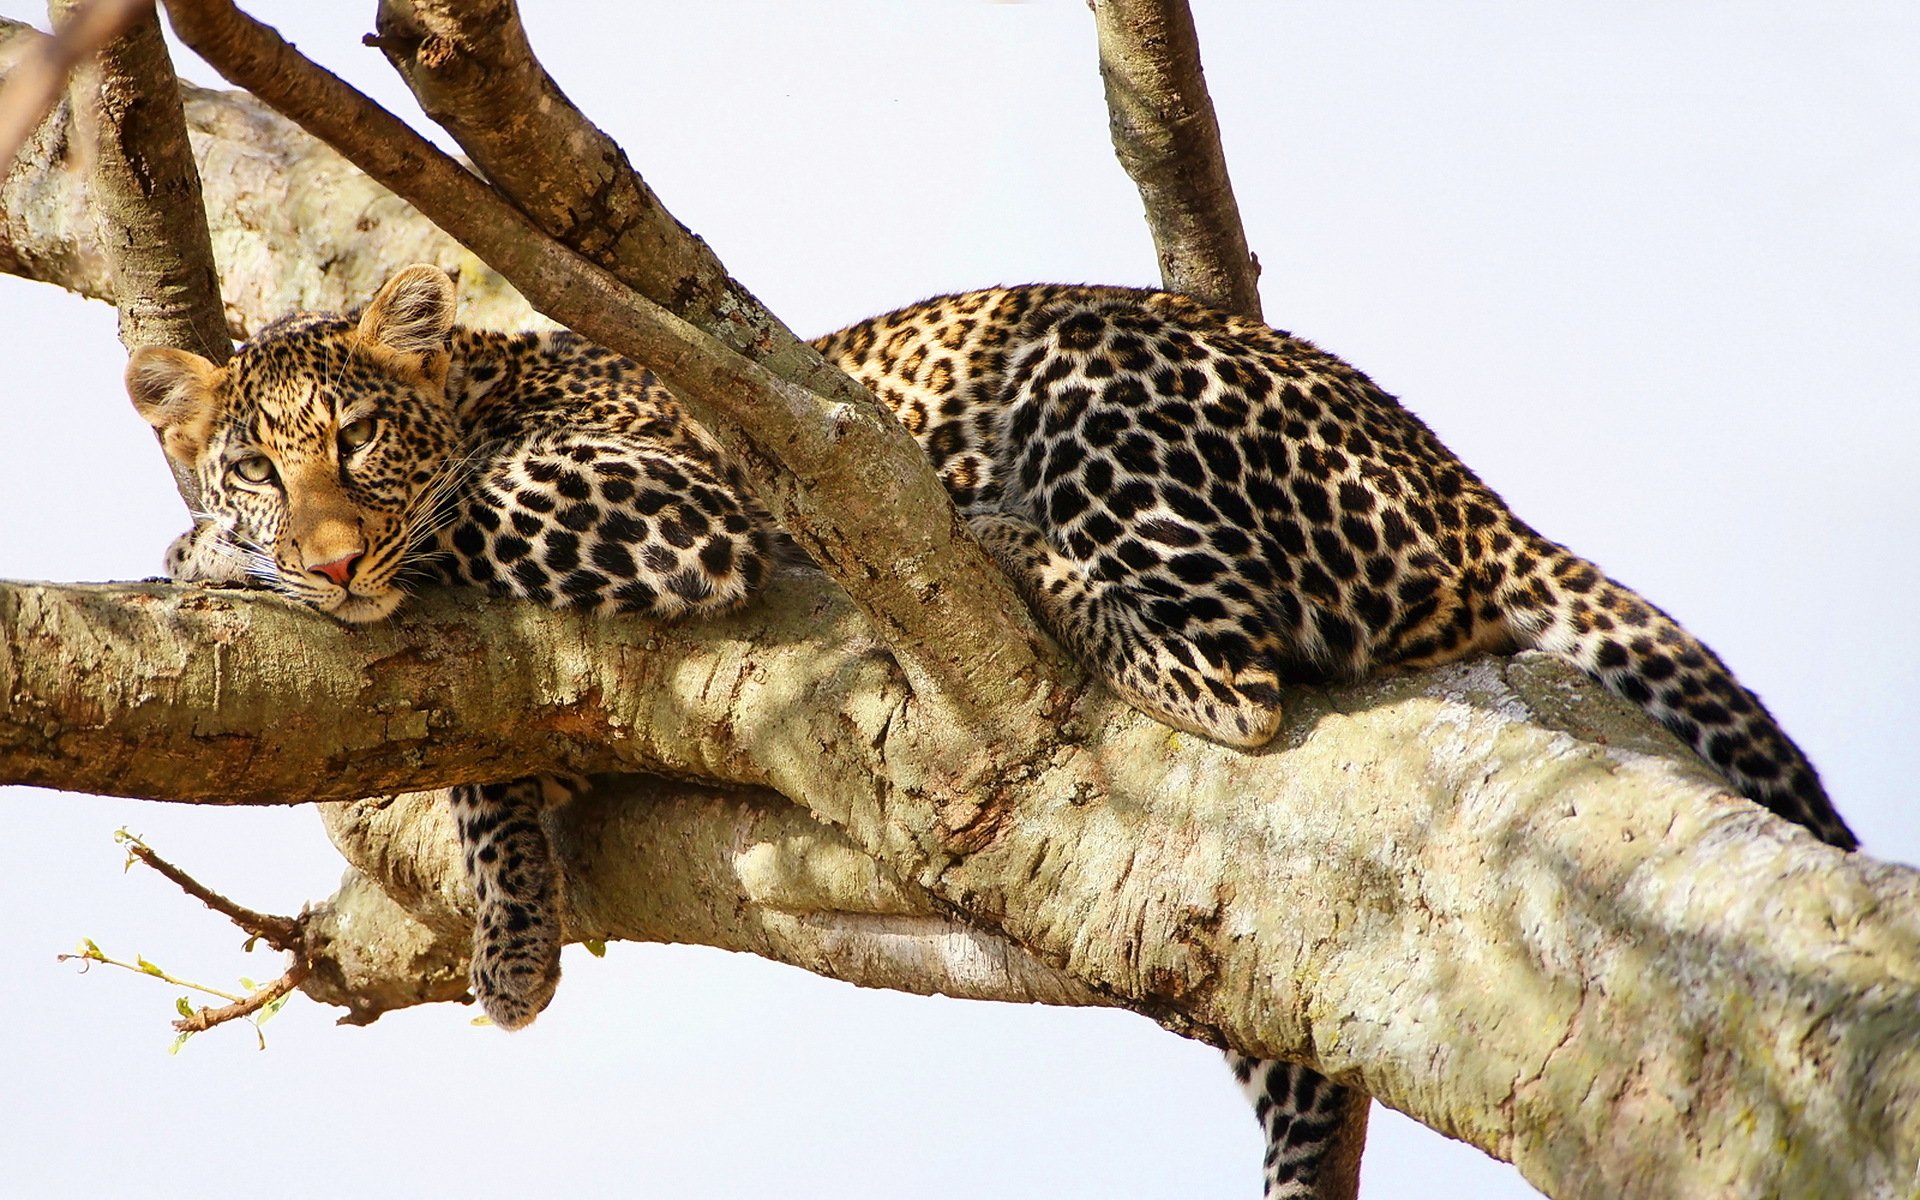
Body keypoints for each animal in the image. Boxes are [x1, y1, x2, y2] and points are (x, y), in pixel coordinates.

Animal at [127, 264, 1850, 1198]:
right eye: (263, 461)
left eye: (357, 445)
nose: (324, 557)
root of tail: (1459, 481)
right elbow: (488, 767)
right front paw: (513, 934)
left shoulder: (665, 506)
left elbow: (467, 518)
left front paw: (209, 561)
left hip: (1091, 377)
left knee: (1232, 684)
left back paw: (1007, 545)